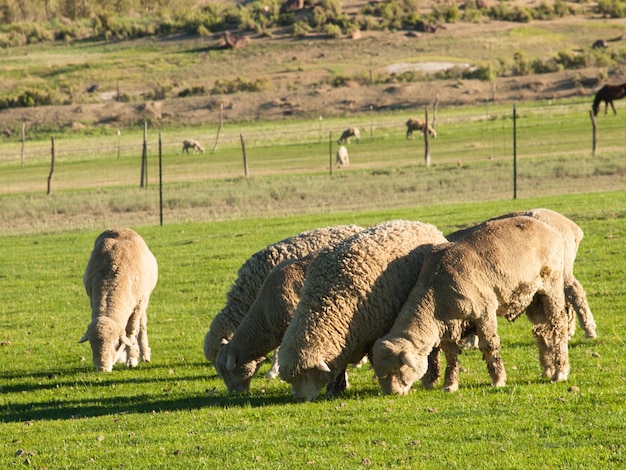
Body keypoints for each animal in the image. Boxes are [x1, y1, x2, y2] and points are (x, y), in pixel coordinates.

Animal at [79, 229, 157, 372]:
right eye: (91, 345)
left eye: (115, 343)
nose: (102, 368)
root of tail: (121, 229)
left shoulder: (137, 305)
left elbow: (131, 331)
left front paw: (131, 359)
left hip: (144, 300)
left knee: (141, 325)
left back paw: (144, 354)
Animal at [276, 218, 446, 402]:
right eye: (291, 379)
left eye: (307, 374)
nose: (300, 399)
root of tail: (425, 225)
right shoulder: (344, 342)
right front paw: (336, 388)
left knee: (434, 350)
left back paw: (431, 379)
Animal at [370, 217, 572, 396]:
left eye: (397, 369)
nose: (391, 393)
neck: (435, 290)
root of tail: (548, 227)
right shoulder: (448, 324)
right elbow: (451, 355)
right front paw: (450, 385)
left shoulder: (484, 311)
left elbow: (489, 345)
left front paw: (498, 380)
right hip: (533, 297)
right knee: (543, 329)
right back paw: (547, 369)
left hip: (552, 284)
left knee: (559, 326)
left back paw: (560, 372)